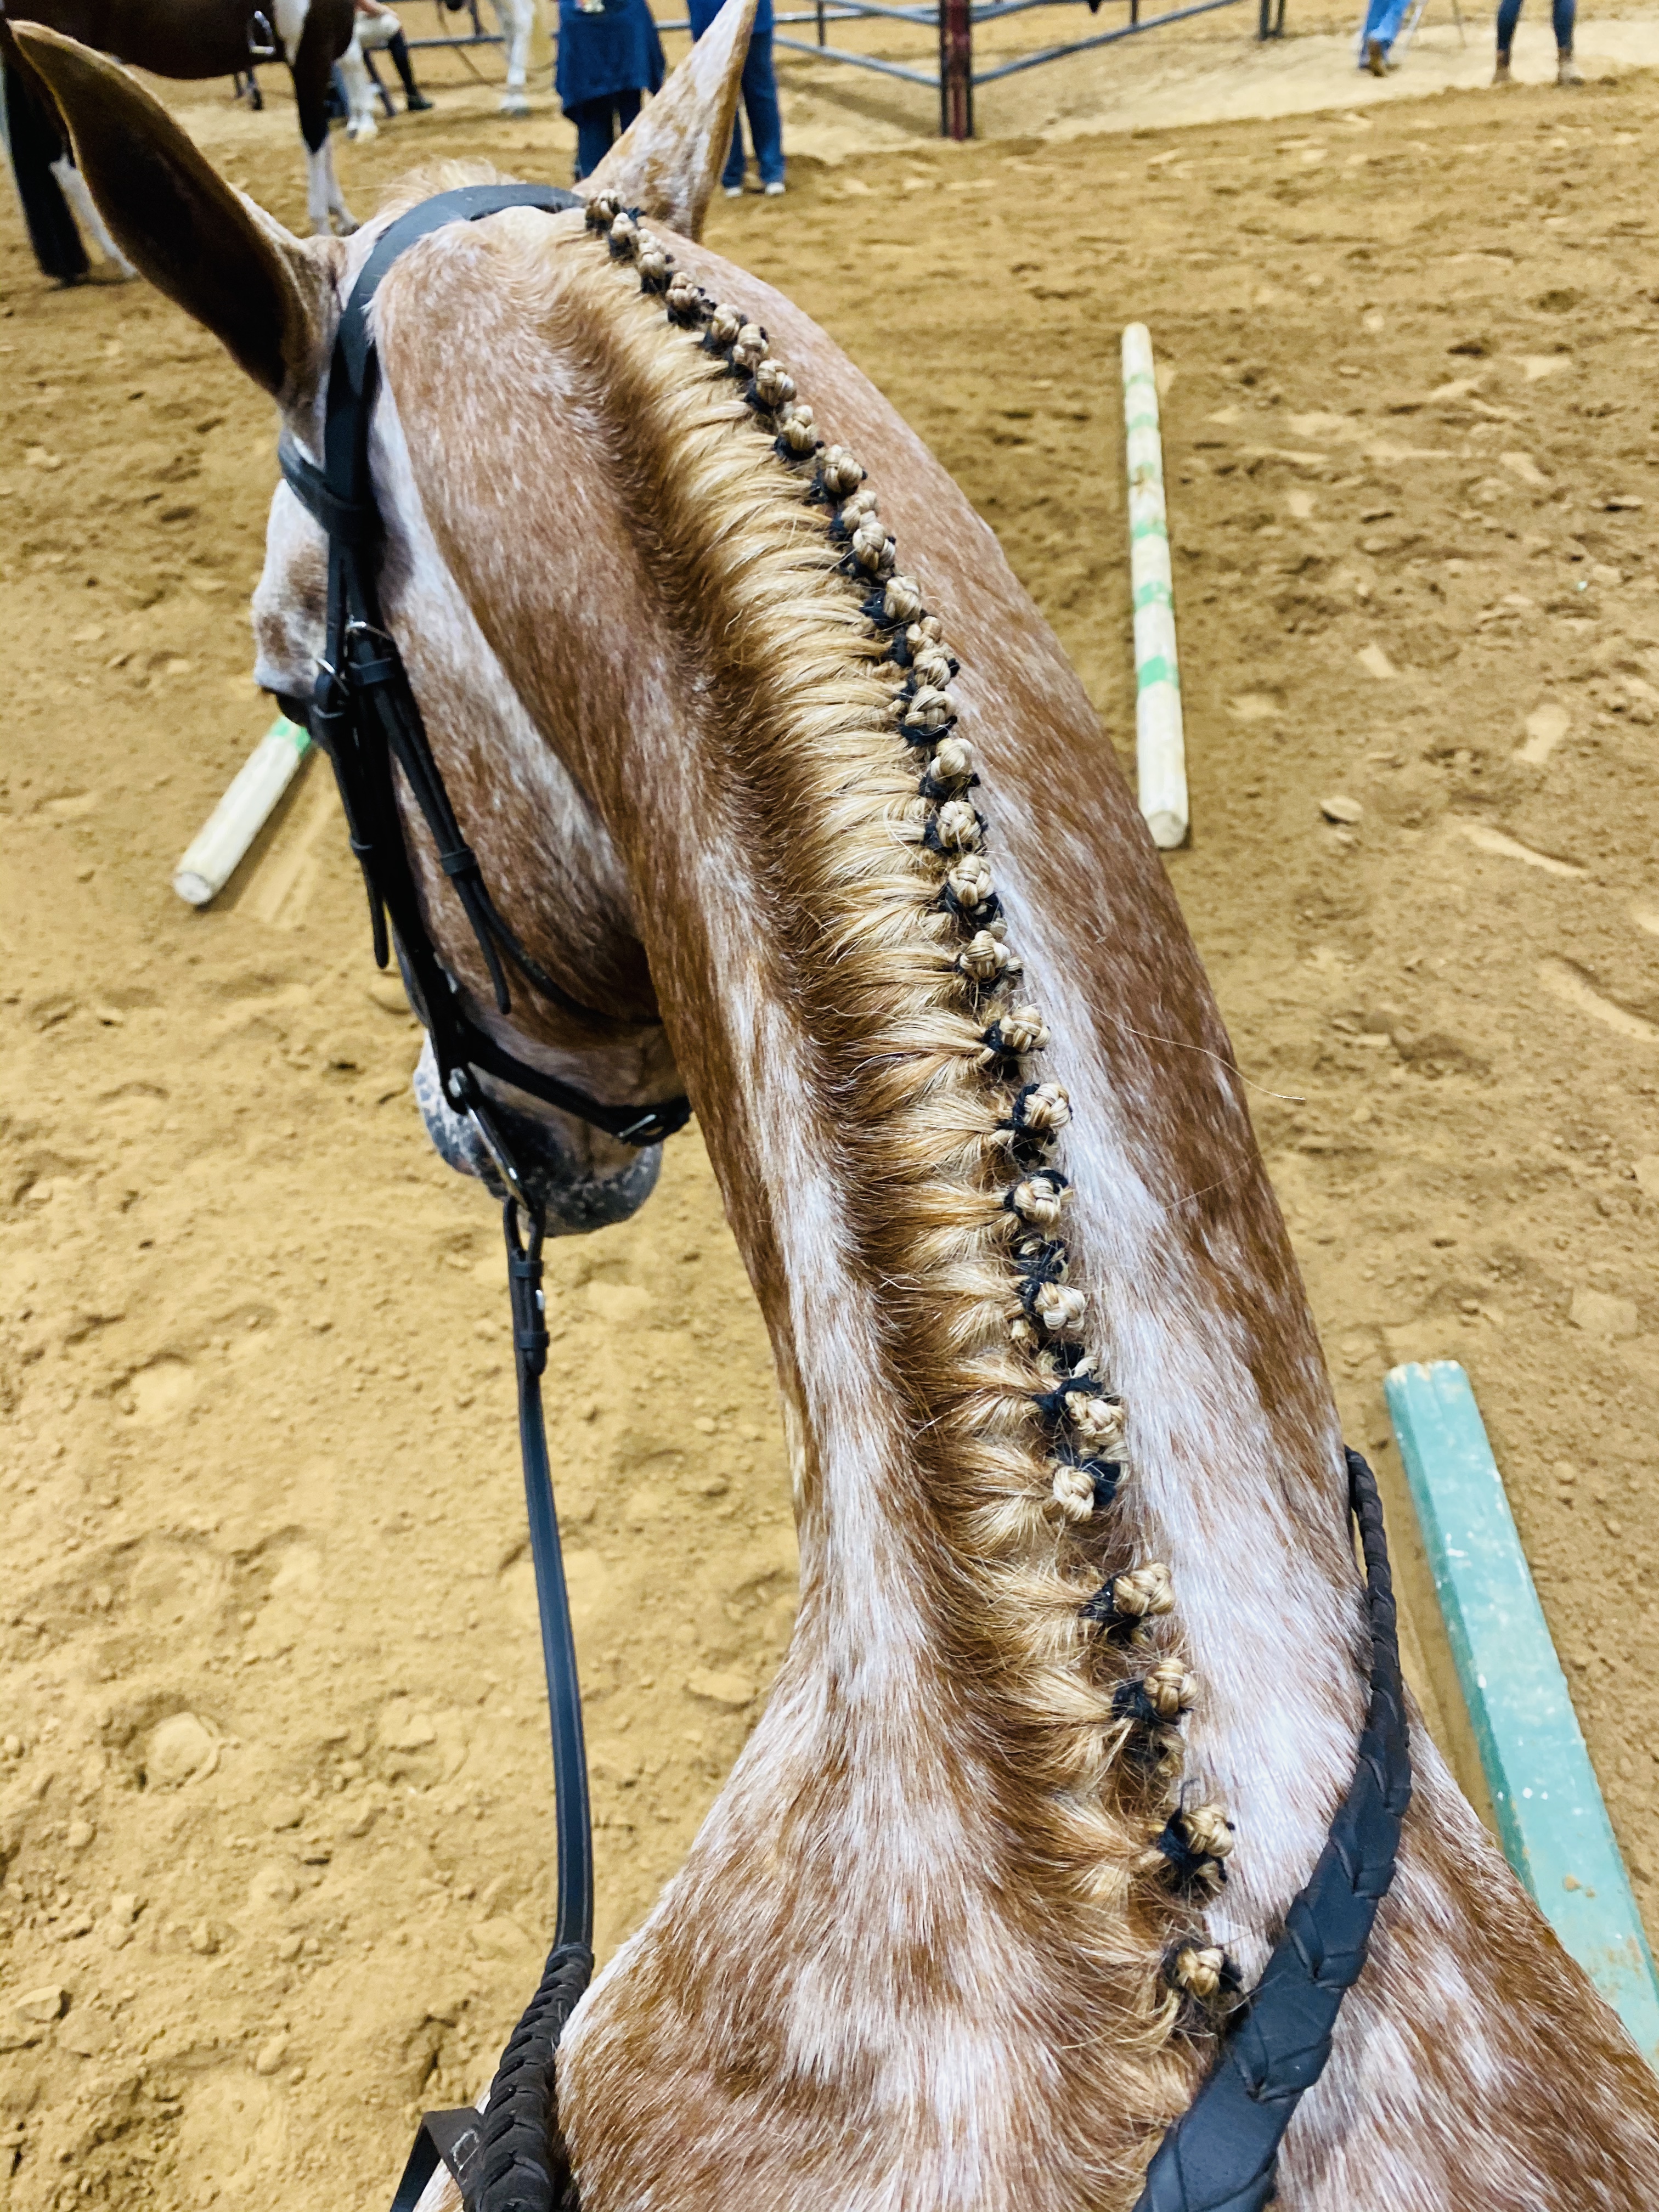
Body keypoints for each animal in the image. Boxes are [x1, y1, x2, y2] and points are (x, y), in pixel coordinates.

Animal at [3, 0, 358, 235]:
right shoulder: (310, 56)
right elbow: (314, 139)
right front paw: (325, 230)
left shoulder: (319, 60)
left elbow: (324, 143)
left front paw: (344, 217)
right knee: (69, 168)